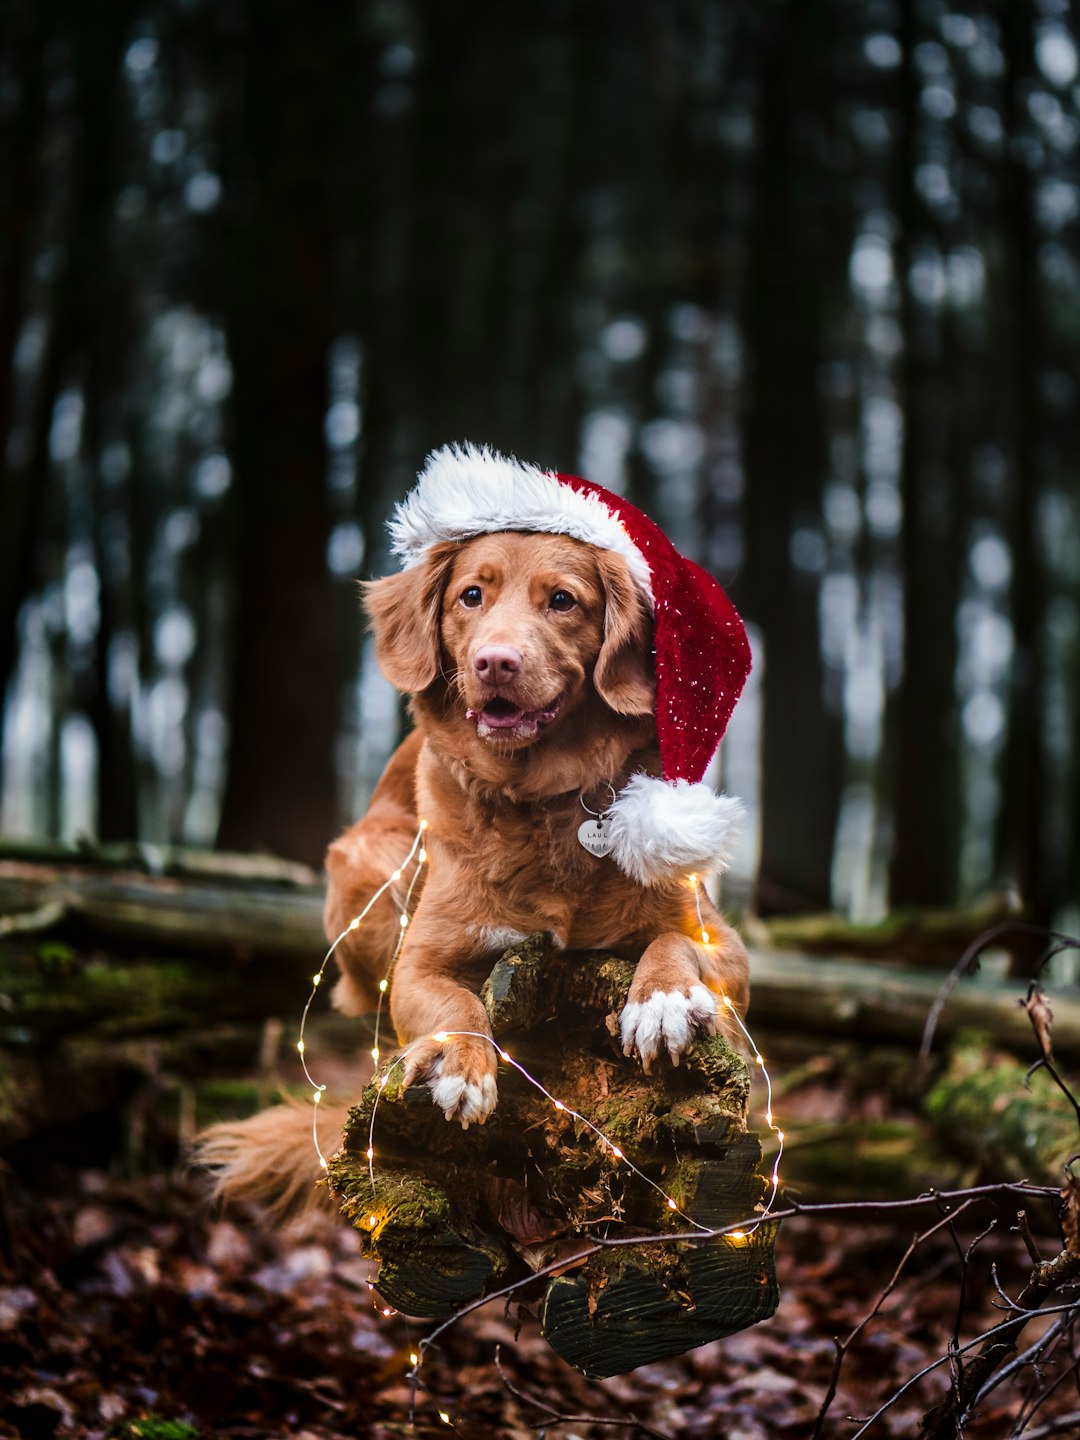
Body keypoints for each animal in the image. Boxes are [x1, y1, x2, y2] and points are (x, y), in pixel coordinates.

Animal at [325, 524, 748, 1128]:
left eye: (563, 600)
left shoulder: (726, 944)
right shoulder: (416, 965)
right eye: (471, 595)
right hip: (370, 866)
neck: (538, 799)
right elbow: (454, 1000)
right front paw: (459, 1060)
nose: (494, 662)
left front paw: (662, 999)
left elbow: (673, 938)